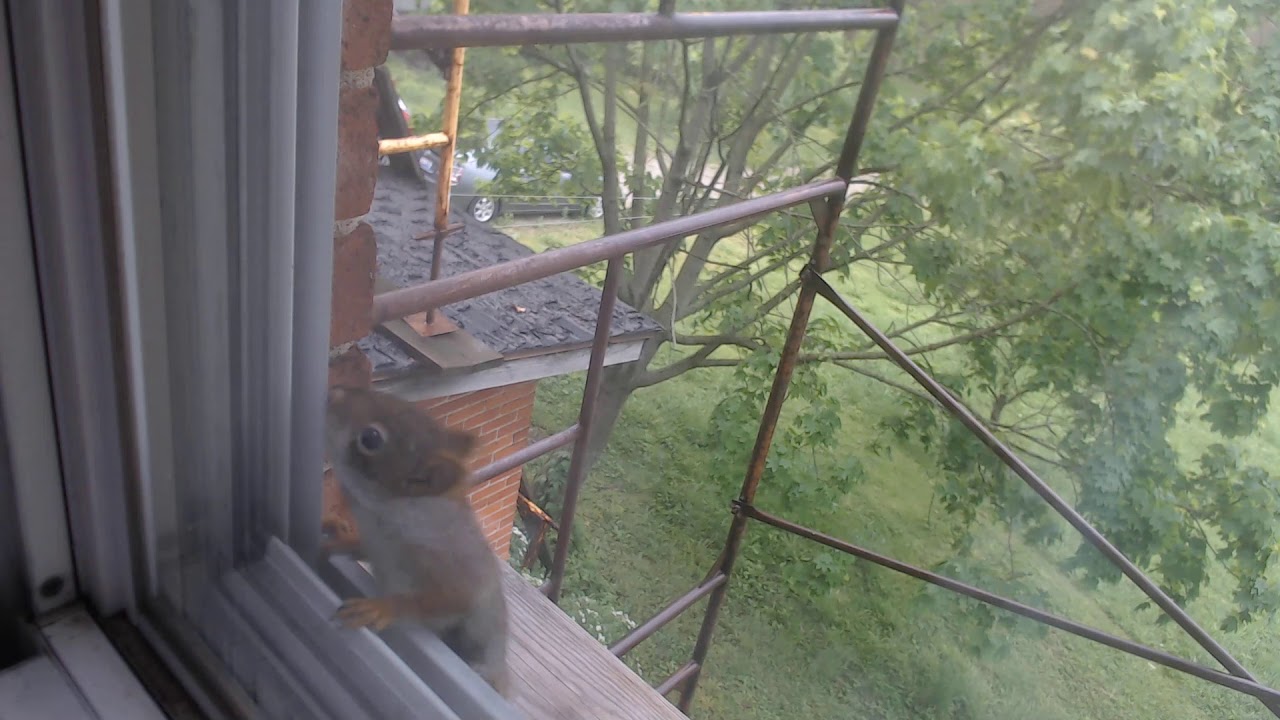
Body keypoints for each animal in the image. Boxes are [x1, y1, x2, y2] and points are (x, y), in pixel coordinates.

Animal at [323, 384, 512, 698]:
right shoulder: (374, 542)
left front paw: (381, 607)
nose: (333, 393)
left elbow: (443, 600)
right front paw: (337, 539)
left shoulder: (448, 564)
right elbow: (358, 547)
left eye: (371, 438)